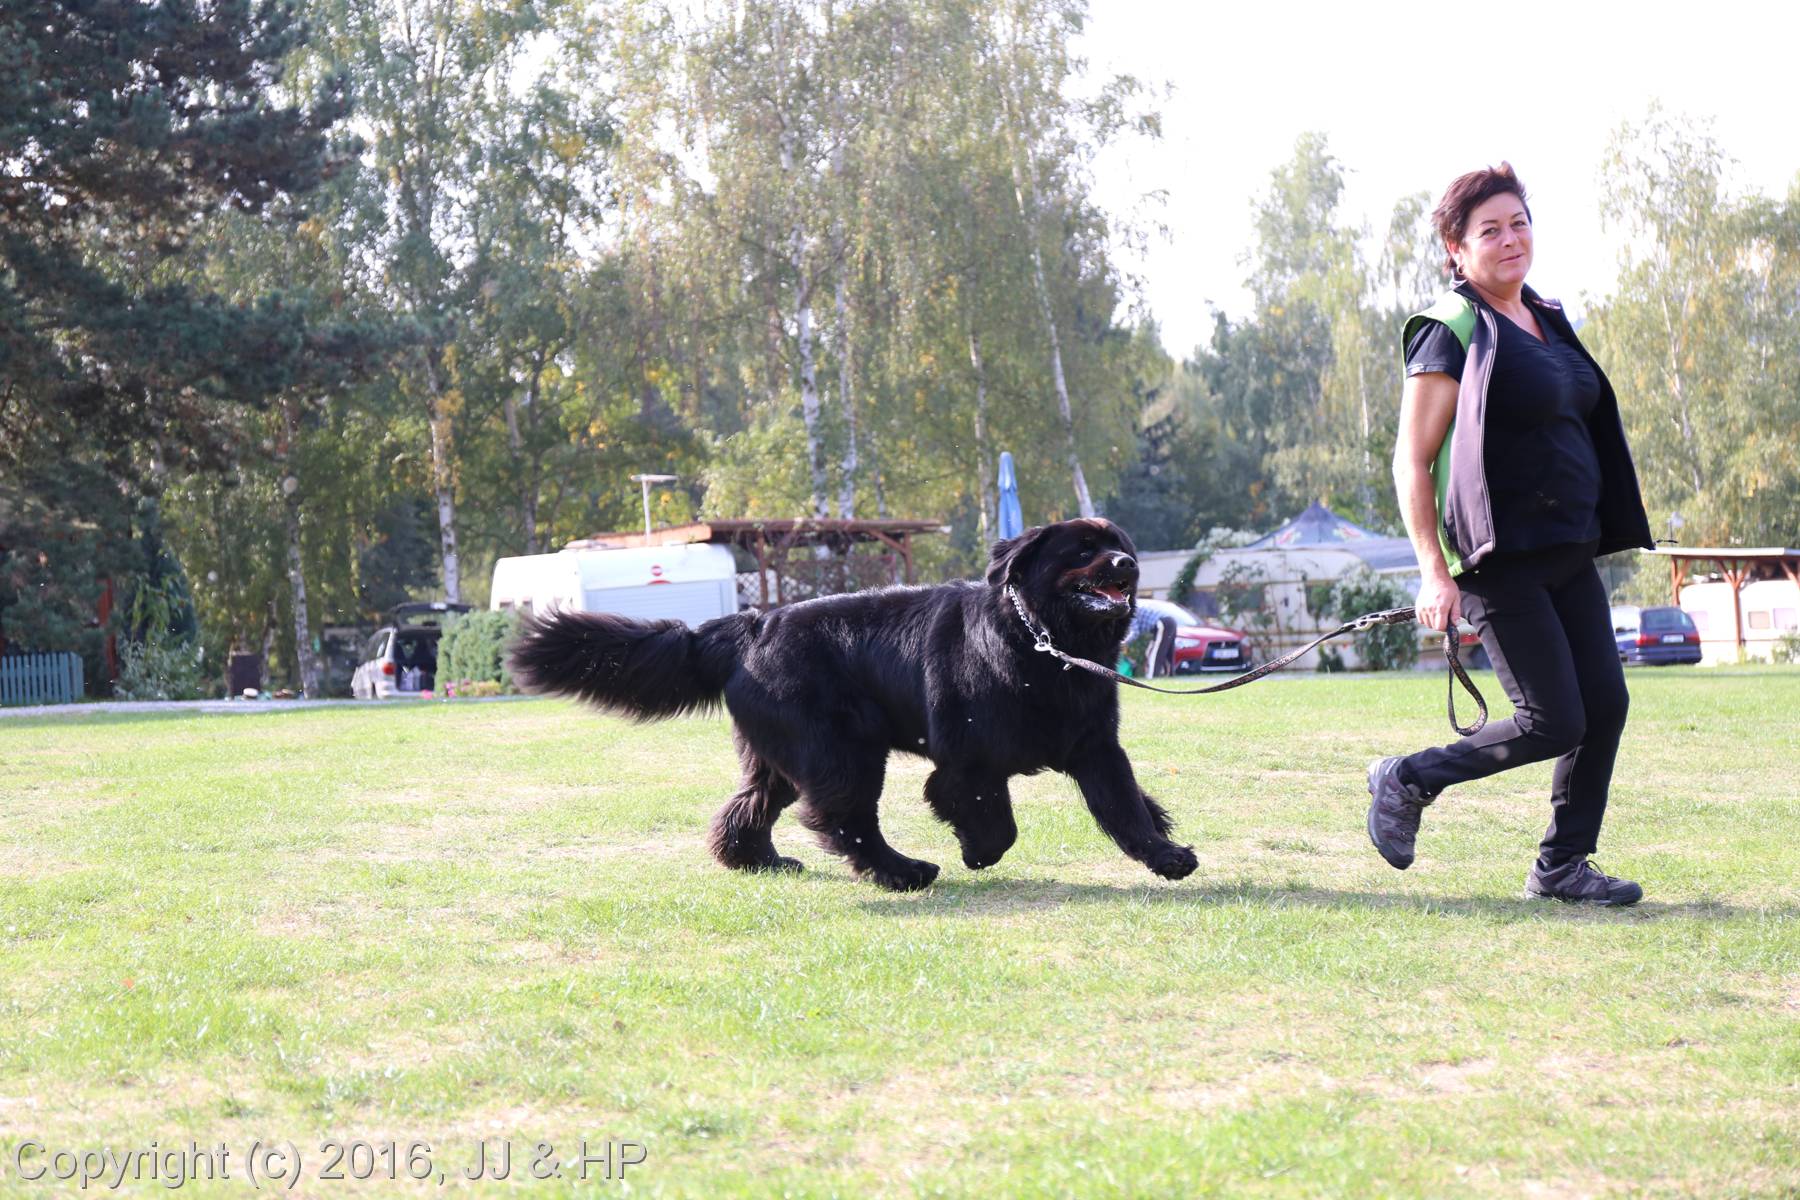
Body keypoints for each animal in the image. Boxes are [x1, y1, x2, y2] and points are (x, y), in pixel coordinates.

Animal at [507, 517, 1198, 891]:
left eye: (1118, 544)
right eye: (1082, 551)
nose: (1127, 563)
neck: (1044, 647)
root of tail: (750, 625)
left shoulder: (1096, 746)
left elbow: (1124, 807)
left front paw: (1167, 856)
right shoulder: (968, 761)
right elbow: (993, 819)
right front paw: (977, 852)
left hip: (785, 754)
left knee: (753, 803)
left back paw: (757, 861)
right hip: (843, 752)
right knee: (844, 819)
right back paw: (903, 872)